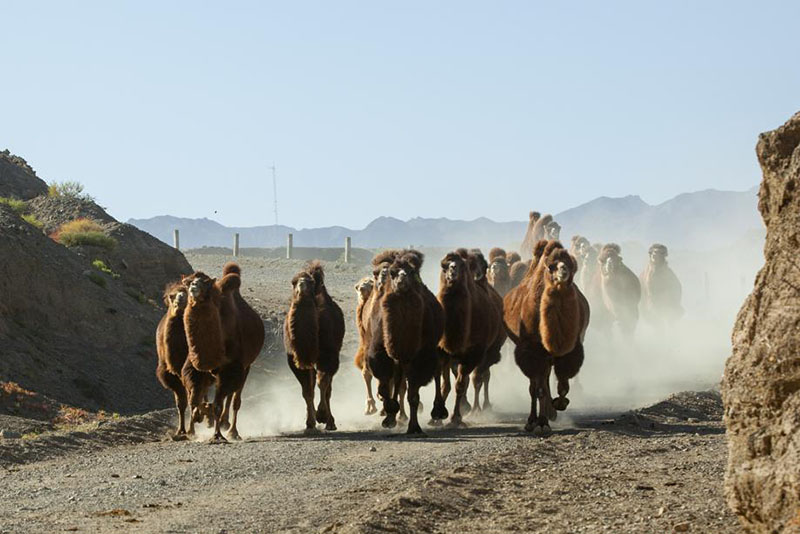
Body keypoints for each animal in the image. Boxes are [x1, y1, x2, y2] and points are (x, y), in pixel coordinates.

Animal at [284, 262, 344, 434]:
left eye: (310, 282)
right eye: (293, 282)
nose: (302, 285)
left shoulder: (329, 355)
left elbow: (322, 384)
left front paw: (323, 417)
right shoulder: (295, 359)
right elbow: (308, 390)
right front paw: (311, 422)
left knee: (325, 384)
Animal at [504, 241, 592, 438]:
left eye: (572, 265)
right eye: (551, 266)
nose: (563, 271)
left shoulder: (571, 349)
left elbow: (563, 384)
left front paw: (558, 405)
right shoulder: (532, 351)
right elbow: (539, 389)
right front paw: (542, 423)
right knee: (535, 386)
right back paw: (532, 421)